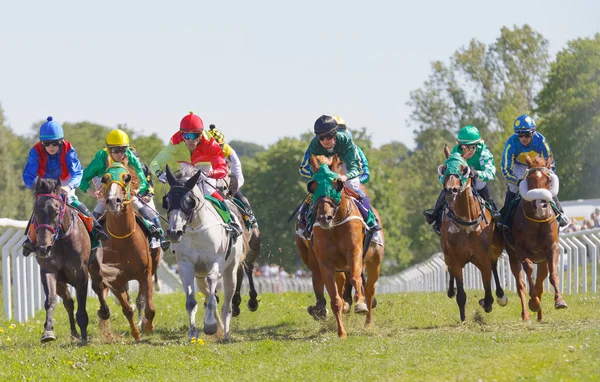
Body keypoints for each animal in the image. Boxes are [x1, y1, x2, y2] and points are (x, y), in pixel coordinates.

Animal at [88, 162, 157, 340]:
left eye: (127, 178)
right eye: (104, 179)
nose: (113, 201)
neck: (122, 240)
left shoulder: (145, 273)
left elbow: (149, 306)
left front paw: (148, 326)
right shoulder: (114, 279)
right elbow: (126, 308)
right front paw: (135, 333)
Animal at [304, 154, 384, 338]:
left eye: (336, 184)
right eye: (313, 186)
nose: (324, 218)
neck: (335, 225)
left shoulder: (354, 252)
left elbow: (355, 279)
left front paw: (360, 305)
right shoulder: (325, 263)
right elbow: (335, 299)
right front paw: (341, 333)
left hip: (374, 262)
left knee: (369, 289)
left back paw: (368, 321)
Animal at [436, 146, 506, 322]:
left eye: (464, 169)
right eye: (444, 168)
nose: (451, 190)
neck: (467, 222)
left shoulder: (483, 257)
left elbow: (488, 291)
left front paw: (486, 303)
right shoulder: (455, 258)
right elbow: (461, 294)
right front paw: (463, 317)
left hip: (495, 247)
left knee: (494, 265)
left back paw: (501, 295)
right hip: (447, 253)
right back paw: (450, 290)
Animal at [506, 154, 568, 320]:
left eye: (548, 179)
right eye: (529, 179)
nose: (540, 206)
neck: (537, 222)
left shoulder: (552, 247)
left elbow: (553, 275)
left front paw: (559, 301)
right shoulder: (520, 249)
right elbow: (528, 272)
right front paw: (533, 303)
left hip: (542, 260)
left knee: (540, 282)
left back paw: (540, 316)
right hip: (512, 255)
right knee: (520, 284)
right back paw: (526, 315)